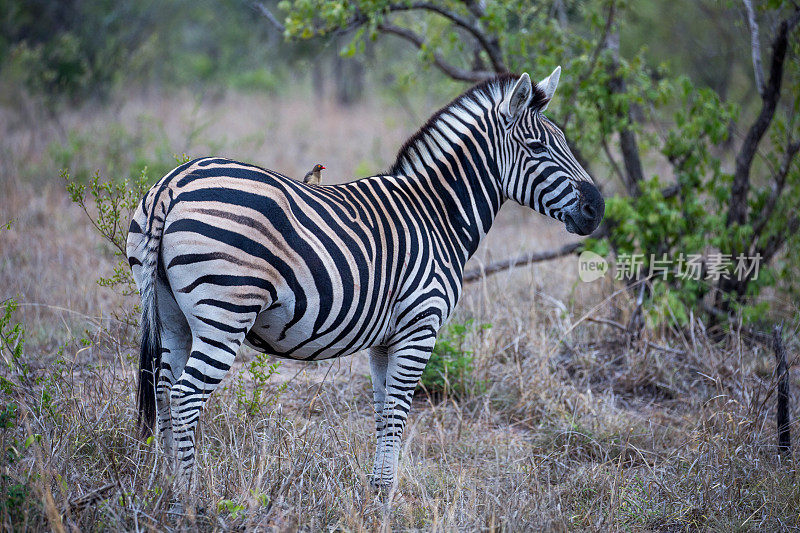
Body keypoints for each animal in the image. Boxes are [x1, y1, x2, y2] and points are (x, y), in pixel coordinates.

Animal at [126, 67, 600, 490]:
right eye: (537, 147)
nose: (597, 209)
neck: (437, 214)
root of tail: (172, 183)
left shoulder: (384, 341)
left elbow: (381, 411)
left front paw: (374, 495)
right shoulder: (419, 327)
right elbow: (396, 415)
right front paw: (386, 498)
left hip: (172, 315)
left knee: (164, 390)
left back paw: (163, 488)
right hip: (225, 311)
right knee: (185, 398)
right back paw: (190, 499)